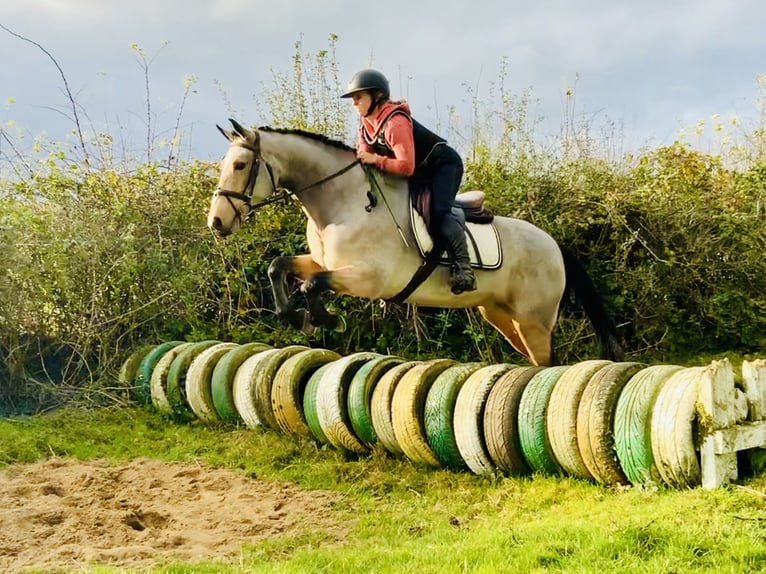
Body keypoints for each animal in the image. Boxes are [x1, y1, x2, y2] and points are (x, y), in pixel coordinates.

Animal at [206, 118, 624, 366]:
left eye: (240, 165)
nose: (217, 222)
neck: (342, 200)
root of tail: (554, 245)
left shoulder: (367, 278)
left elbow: (312, 284)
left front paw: (326, 319)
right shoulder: (326, 261)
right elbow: (280, 266)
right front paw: (294, 316)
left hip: (533, 319)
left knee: (549, 365)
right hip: (502, 316)